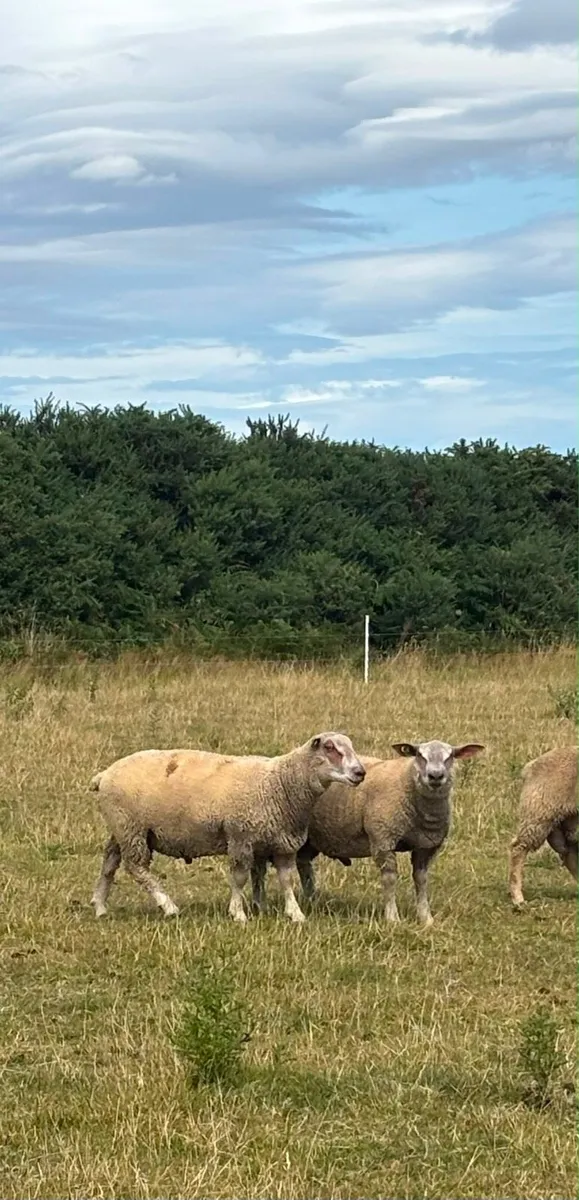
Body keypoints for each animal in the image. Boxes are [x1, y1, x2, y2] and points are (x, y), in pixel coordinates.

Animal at [90, 733, 365, 925]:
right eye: (330, 748)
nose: (360, 772)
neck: (279, 782)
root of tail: (104, 775)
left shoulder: (282, 842)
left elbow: (286, 880)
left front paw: (295, 913)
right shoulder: (240, 837)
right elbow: (240, 877)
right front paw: (238, 913)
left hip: (123, 828)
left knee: (109, 862)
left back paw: (101, 906)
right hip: (131, 827)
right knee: (136, 867)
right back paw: (168, 905)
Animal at [252, 739, 484, 924]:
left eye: (450, 756)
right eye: (419, 755)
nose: (435, 776)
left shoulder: (426, 846)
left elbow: (421, 880)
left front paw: (426, 918)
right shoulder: (383, 839)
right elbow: (390, 879)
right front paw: (393, 918)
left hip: (311, 839)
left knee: (304, 865)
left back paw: (312, 900)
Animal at [509, 746, 577, 908]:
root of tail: (531, 766)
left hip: (566, 819)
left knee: (569, 853)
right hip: (539, 813)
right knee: (518, 848)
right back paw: (517, 898)